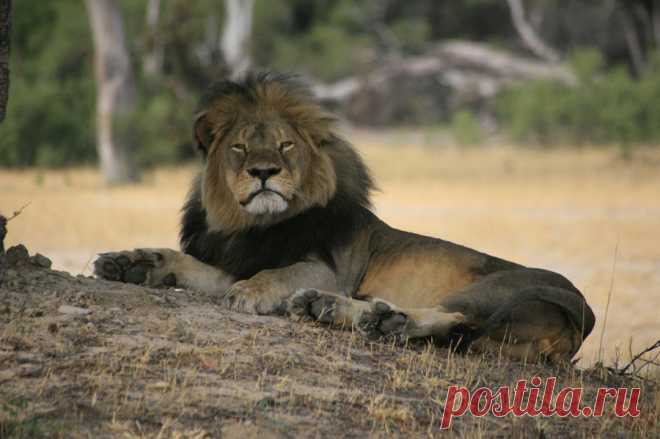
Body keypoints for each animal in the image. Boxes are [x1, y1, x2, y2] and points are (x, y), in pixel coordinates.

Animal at [94, 73, 595, 362]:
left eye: (285, 145)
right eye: (239, 148)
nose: (263, 172)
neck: (253, 226)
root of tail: (584, 312)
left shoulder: (327, 269)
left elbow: (280, 274)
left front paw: (251, 295)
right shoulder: (233, 262)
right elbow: (181, 261)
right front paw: (128, 263)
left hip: (494, 288)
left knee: (447, 314)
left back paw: (343, 310)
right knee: (454, 329)